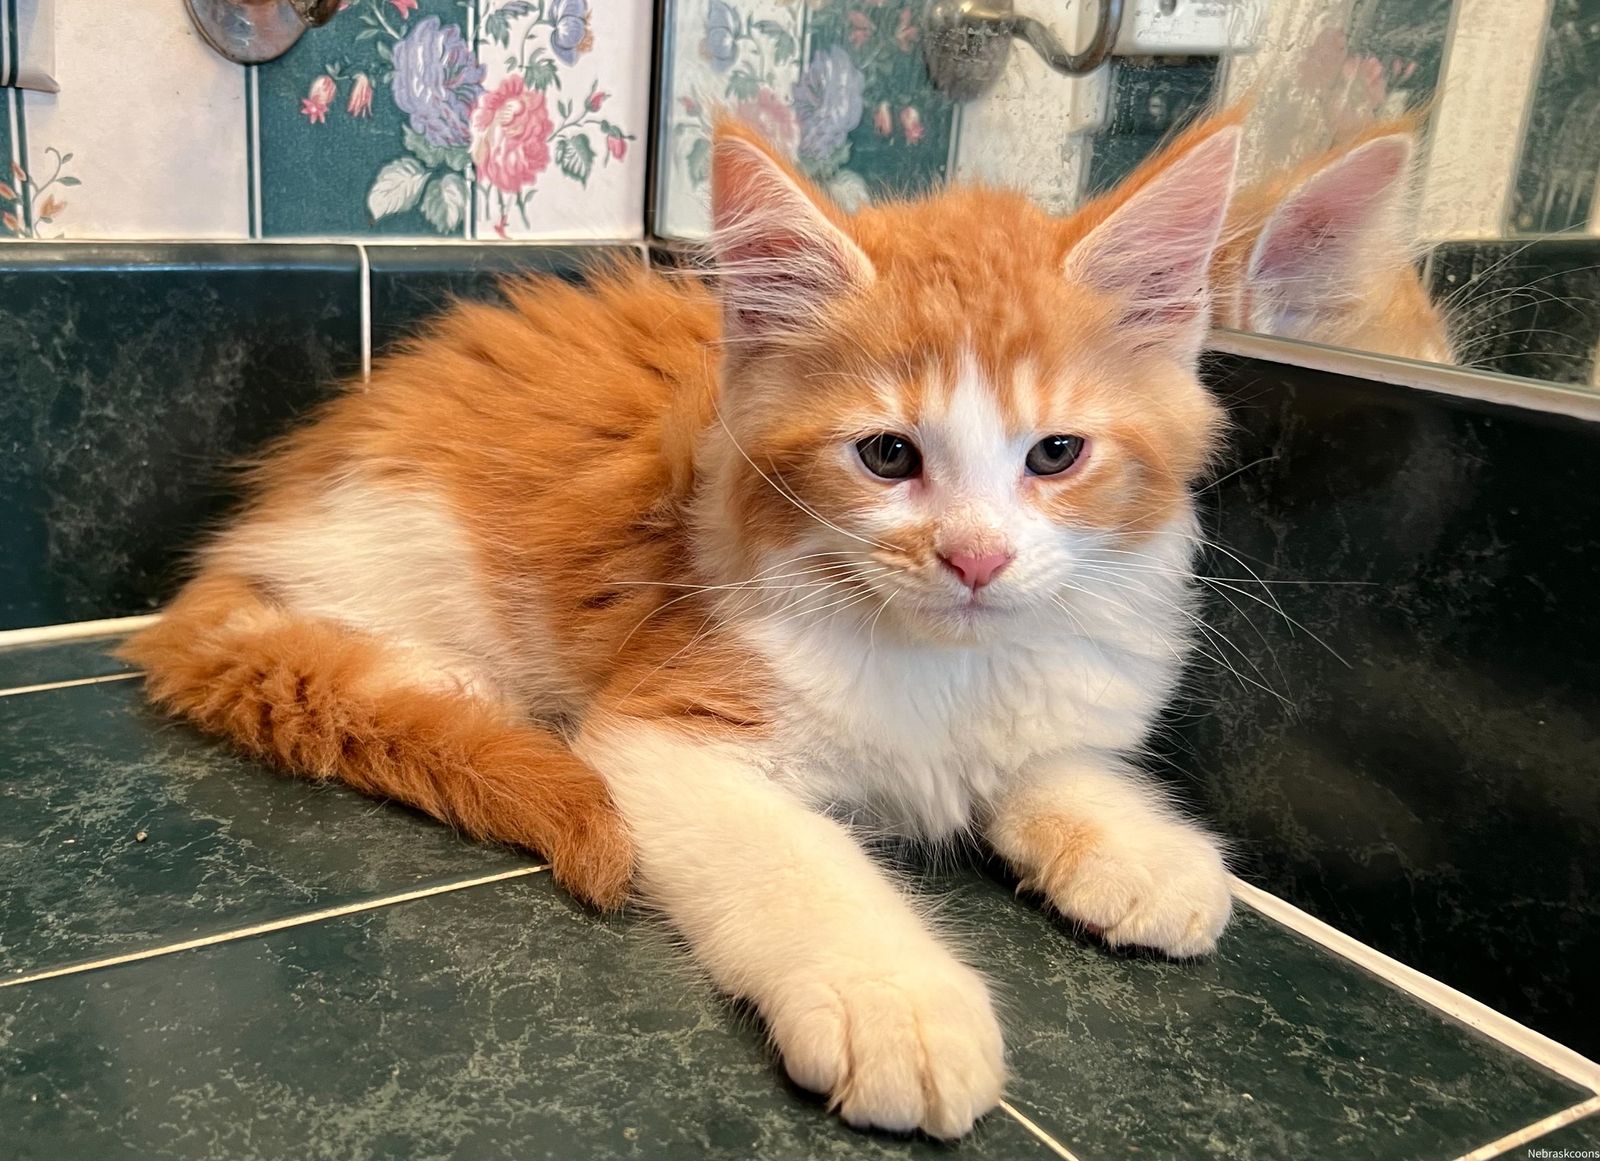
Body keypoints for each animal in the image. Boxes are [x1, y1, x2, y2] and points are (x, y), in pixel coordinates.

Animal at [124, 114, 1247, 1137]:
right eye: (887, 455)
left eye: (1056, 454)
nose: (975, 559)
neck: (940, 655)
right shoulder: (671, 722)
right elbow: (796, 861)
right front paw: (896, 1000)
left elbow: (1042, 756)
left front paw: (1137, 844)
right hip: (407, 546)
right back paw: (448, 685)